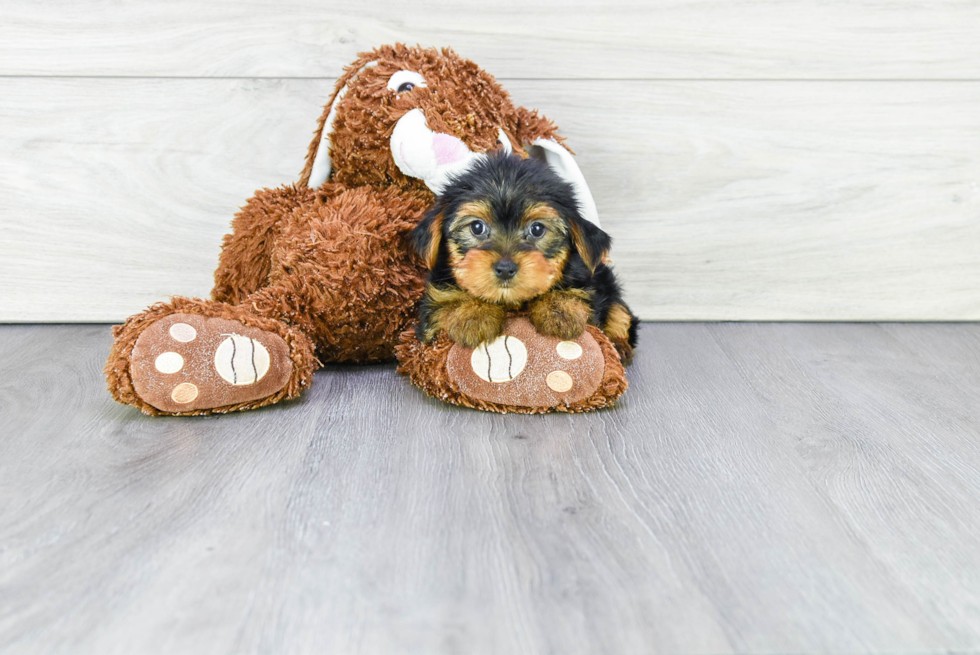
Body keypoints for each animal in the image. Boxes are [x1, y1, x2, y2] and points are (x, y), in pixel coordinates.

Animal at [410, 150, 640, 364]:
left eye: (537, 229)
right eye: (477, 227)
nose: (505, 268)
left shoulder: (590, 280)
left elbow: (583, 294)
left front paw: (560, 310)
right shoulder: (433, 301)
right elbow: (443, 304)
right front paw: (473, 314)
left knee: (621, 310)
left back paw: (619, 344)